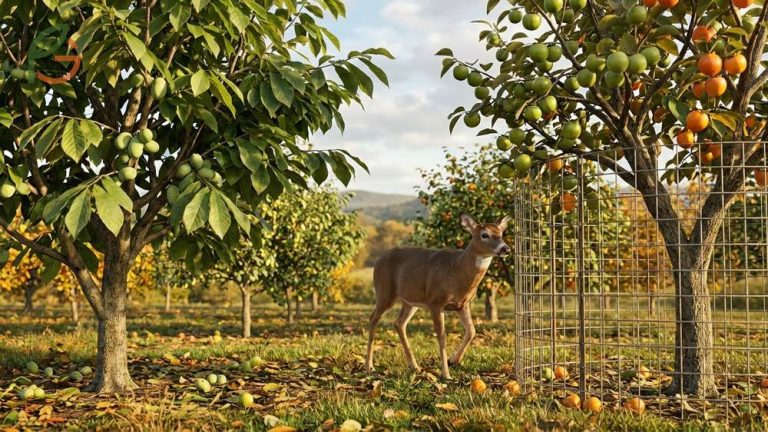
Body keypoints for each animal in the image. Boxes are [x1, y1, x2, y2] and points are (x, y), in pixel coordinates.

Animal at [365, 213, 511, 379]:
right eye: (484, 234)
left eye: (501, 233)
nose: (505, 248)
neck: (456, 270)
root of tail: (378, 260)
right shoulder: (435, 302)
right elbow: (442, 337)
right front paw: (445, 374)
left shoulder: (463, 304)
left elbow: (472, 331)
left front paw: (453, 360)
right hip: (384, 291)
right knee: (373, 319)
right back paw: (369, 366)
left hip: (411, 300)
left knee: (399, 323)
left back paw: (415, 366)